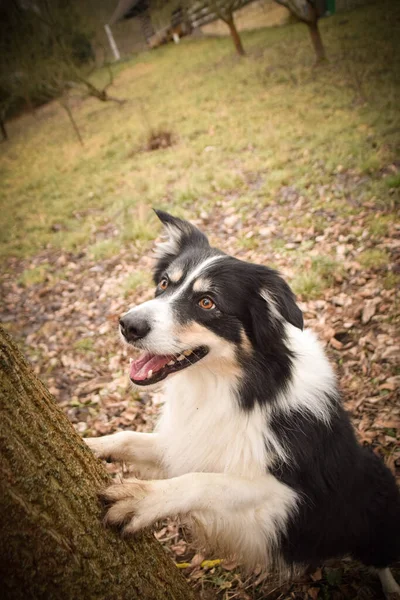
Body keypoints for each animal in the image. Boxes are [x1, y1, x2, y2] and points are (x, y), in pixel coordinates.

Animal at [86, 209, 400, 596]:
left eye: (207, 302)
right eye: (163, 284)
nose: (127, 325)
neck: (233, 387)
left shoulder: (290, 498)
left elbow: (204, 481)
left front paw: (142, 499)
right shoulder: (188, 441)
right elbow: (131, 438)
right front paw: (93, 444)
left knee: (382, 558)